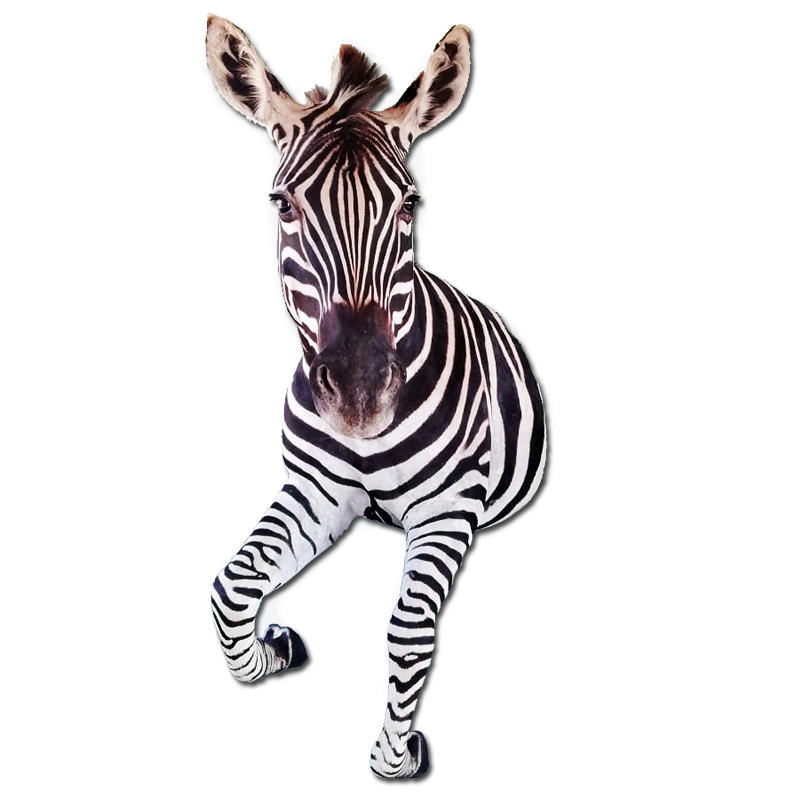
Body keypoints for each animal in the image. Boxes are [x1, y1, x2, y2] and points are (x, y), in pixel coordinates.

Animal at [202, 13, 547, 779]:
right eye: (282, 204)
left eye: (410, 204)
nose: (360, 398)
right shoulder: (318, 492)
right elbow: (231, 586)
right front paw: (275, 651)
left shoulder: (447, 511)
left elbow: (411, 632)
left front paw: (395, 754)